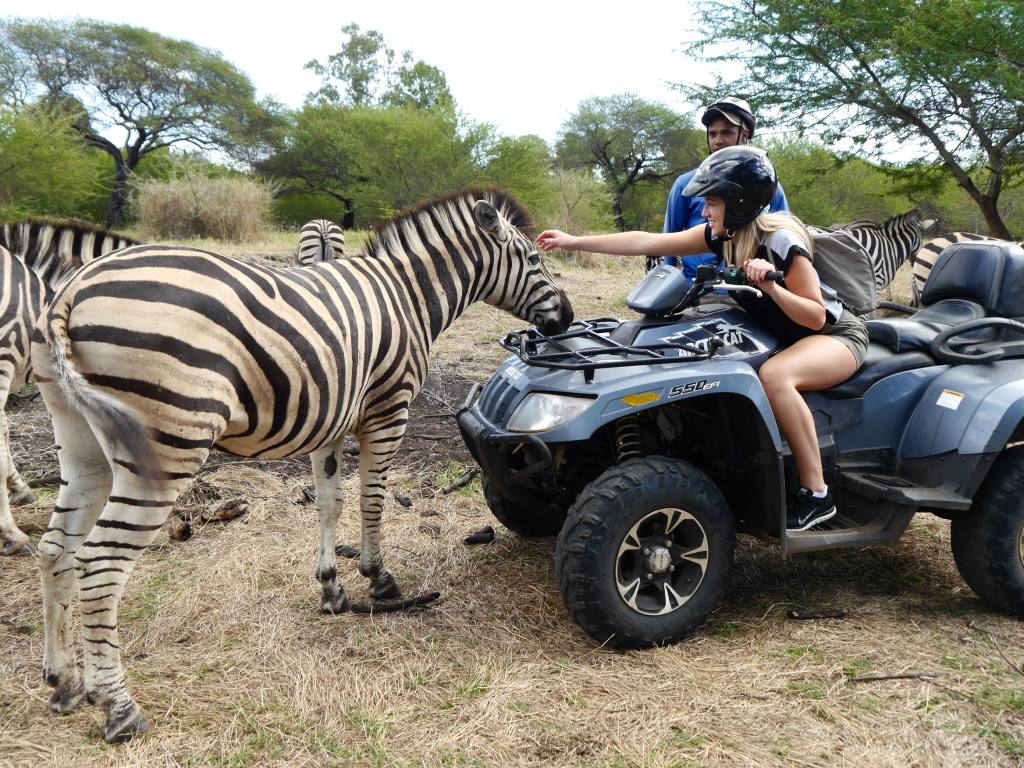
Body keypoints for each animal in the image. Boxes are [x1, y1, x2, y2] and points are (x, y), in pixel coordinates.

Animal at [29, 188, 577, 745]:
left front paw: (331, 587)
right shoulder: (389, 410)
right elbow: (372, 499)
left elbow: (330, 503)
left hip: (81, 440)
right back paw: (119, 708)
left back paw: (64, 683)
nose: (568, 318)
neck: (408, 296)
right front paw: (378, 578)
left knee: (54, 549)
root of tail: (74, 288)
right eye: (535, 260)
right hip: (167, 443)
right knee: (99, 562)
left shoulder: (331, 419)